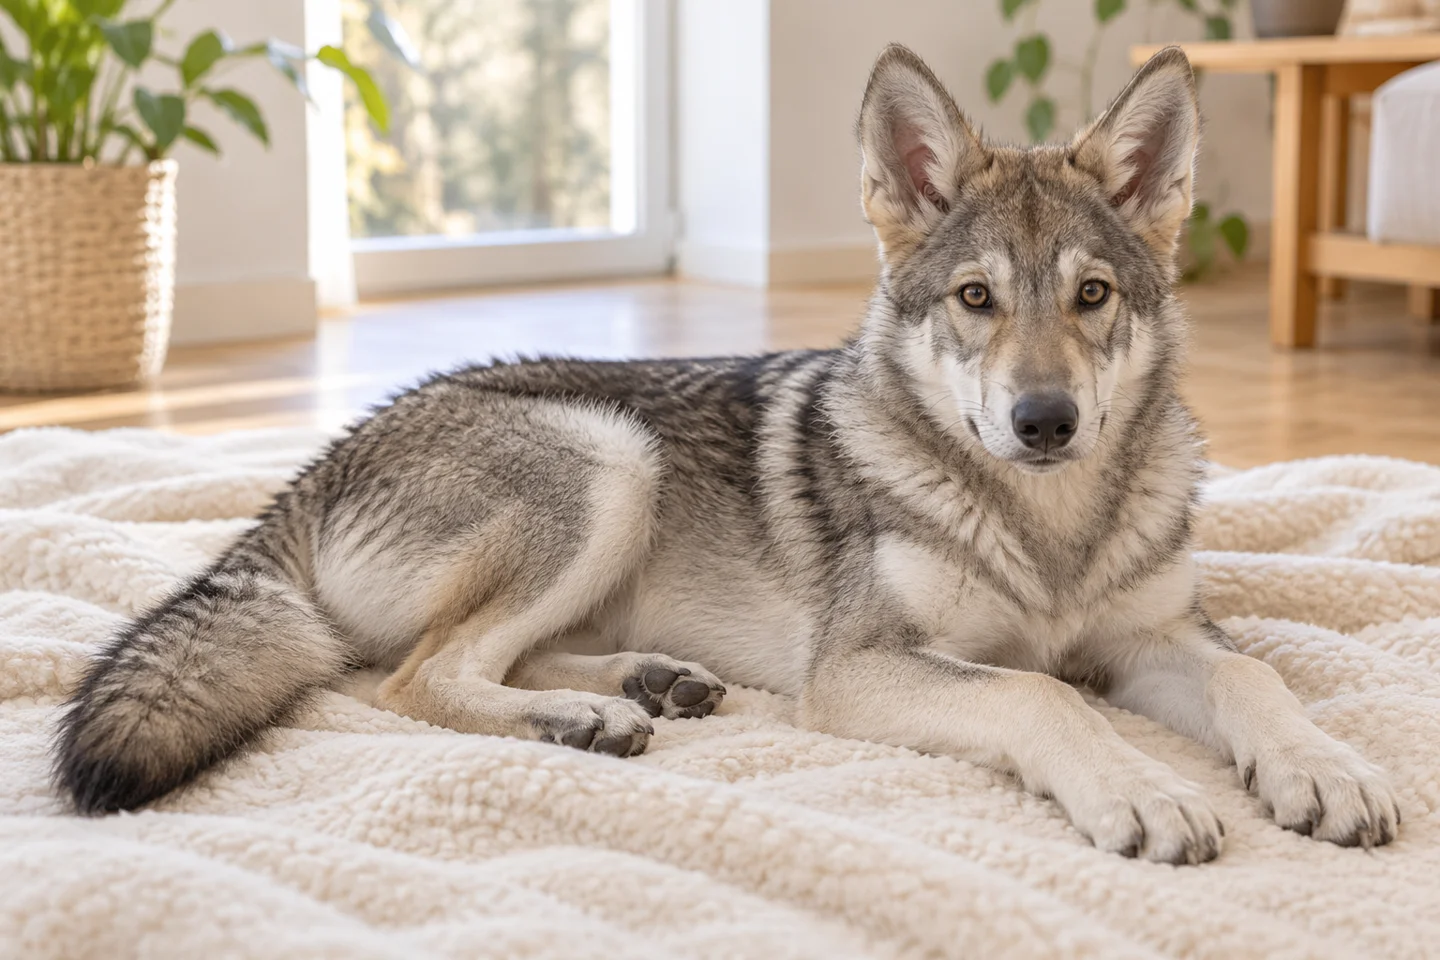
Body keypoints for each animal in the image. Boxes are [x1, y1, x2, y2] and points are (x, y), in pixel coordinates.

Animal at [54, 45, 1398, 863]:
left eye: (1092, 296)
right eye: (975, 299)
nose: (1044, 421)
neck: (1048, 523)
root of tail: (323, 459)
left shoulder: (1158, 638)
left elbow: (1254, 678)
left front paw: (1326, 769)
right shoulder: (858, 672)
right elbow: (1036, 692)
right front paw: (1148, 788)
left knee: (458, 660)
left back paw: (644, 686)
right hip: (607, 464)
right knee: (403, 679)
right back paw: (589, 721)